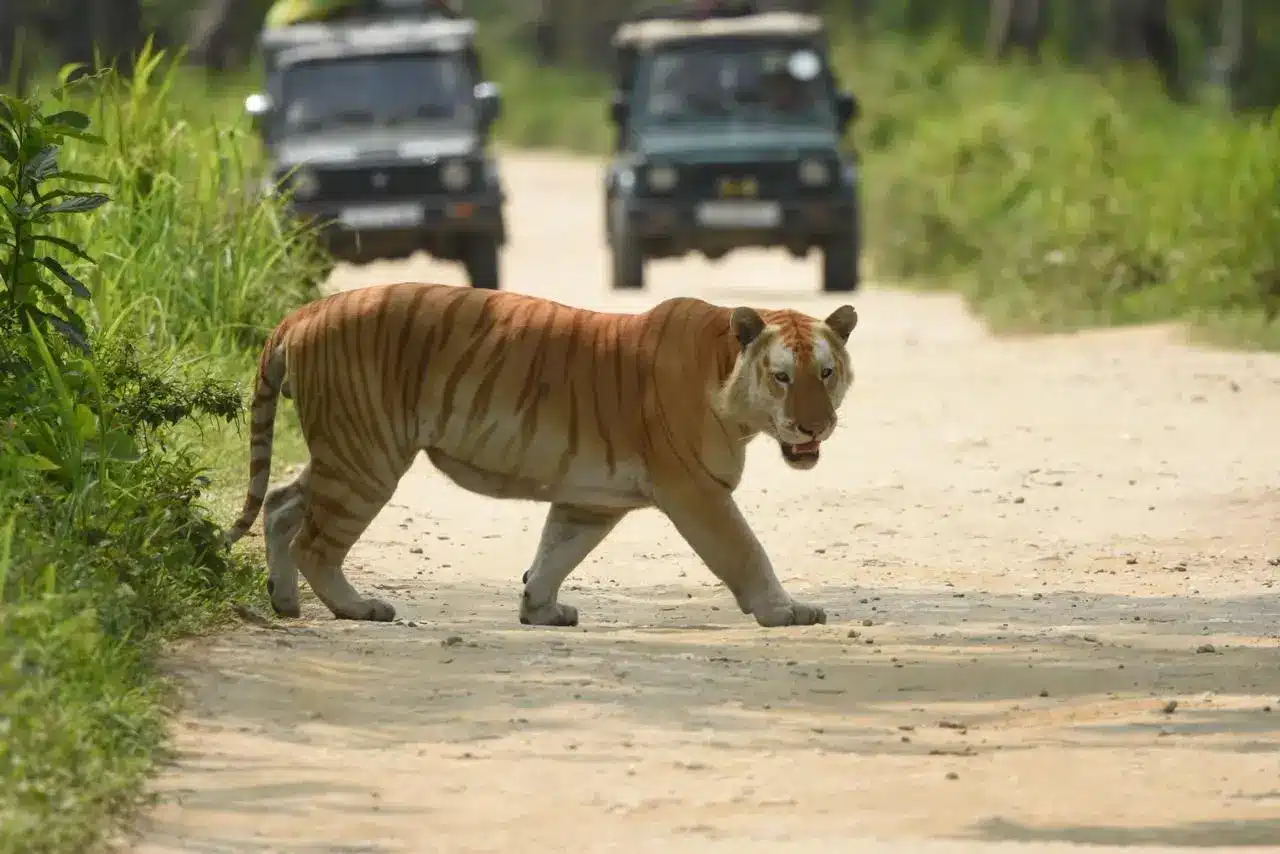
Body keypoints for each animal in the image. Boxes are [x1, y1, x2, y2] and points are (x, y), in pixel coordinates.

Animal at [225, 281, 858, 628]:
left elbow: (557, 551)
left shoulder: (592, 499)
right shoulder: (697, 491)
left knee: (280, 504)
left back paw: (284, 600)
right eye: (782, 377)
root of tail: (304, 311)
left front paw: (540, 609)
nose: (817, 426)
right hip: (367, 455)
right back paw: (356, 608)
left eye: (826, 373)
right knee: (314, 541)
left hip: (349, 448)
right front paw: (786, 610)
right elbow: (745, 551)